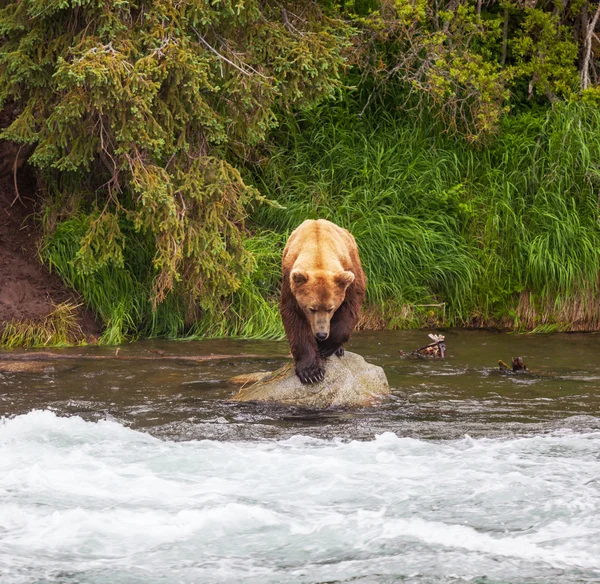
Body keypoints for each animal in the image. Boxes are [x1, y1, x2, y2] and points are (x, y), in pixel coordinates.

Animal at [280, 218, 368, 384]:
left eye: (330, 308)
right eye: (311, 308)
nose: (321, 334)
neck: (319, 250)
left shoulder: (349, 272)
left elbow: (350, 306)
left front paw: (327, 346)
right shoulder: (290, 283)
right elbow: (294, 317)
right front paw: (311, 372)